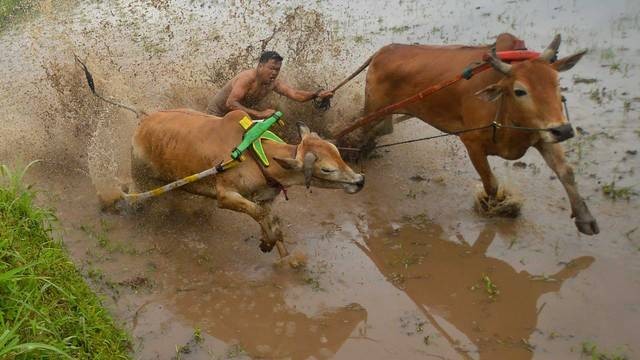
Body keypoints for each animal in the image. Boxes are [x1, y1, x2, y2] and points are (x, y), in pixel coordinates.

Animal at [131, 108, 364, 258]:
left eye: (337, 152)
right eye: (327, 169)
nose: (360, 181)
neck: (256, 155)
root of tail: (142, 125)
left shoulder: (264, 198)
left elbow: (271, 221)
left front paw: (284, 256)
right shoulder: (225, 196)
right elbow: (261, 216)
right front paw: (268, 242)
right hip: (141, 179)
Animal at [340, 33, 600, 236]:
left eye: (557, 83)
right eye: (520, 91)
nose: (564, 130)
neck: (502, 107)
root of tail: (382, 52)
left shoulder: (542, 135)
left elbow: (566, 172)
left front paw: (585, 219)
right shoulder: (472, 143)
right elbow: (491, 183)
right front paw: (494, 208)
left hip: (388, 113)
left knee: (382, 130)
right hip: (373, 108)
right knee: (353, 129)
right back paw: (350, 150)